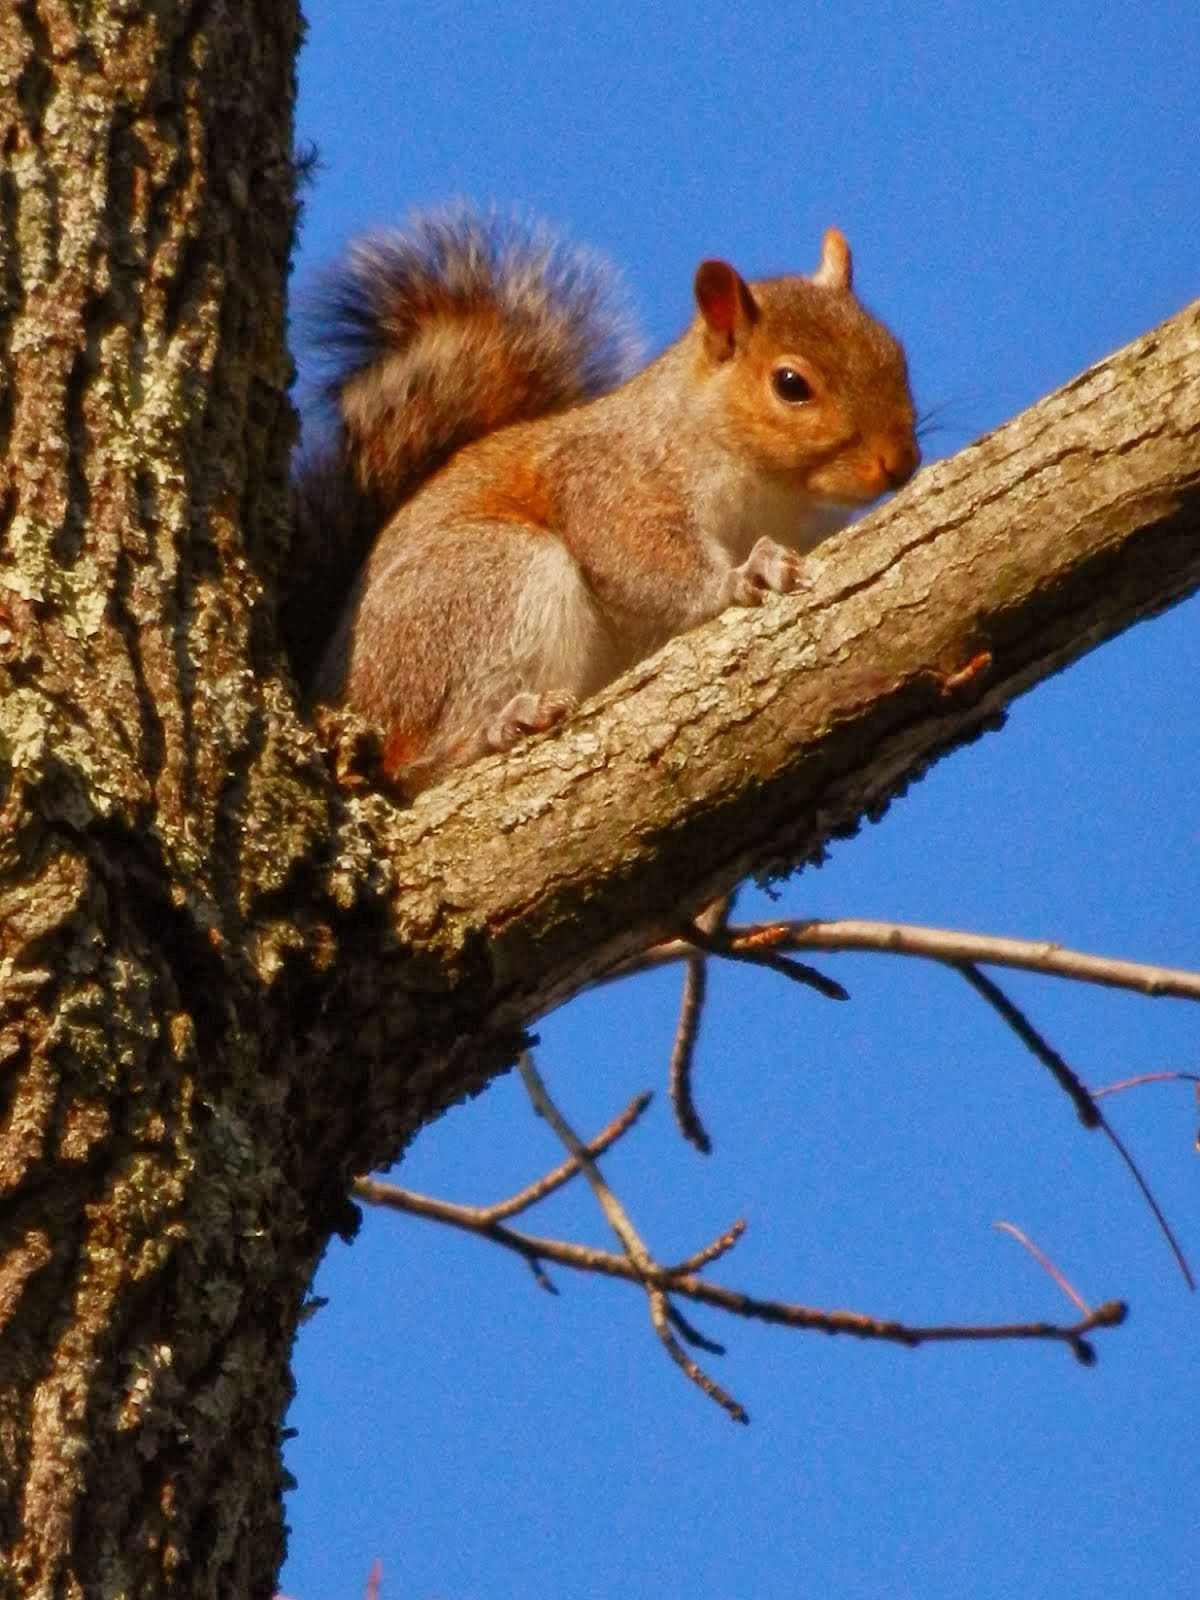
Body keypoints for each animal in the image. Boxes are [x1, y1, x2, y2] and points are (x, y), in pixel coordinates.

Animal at [294, 206, 921, 793]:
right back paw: (494, 730)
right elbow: (639, 561)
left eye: (895, 352)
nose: (901, 462)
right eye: (791, 384)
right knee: (405, 767)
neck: (774, 491)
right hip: (485, 583)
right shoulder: (613, 481)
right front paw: (745, 574)